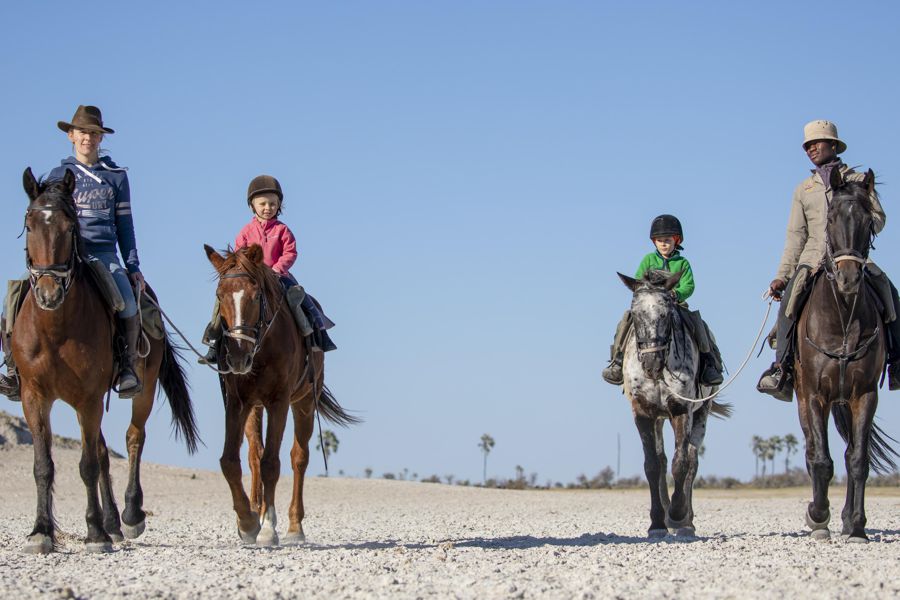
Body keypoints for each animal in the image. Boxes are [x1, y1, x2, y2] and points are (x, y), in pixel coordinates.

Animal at [15, 169, 200, 552]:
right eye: (29, 224)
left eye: (70, 226)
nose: (48, 293)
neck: (55, 329)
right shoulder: (34, 397)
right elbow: (45, 465)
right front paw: (41, 532)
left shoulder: (88, 399)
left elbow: (86, 464)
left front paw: (96, 534)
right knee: (102, 451)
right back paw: (113, 521)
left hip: (141, 389)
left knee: (133, 437)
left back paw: (129, 516)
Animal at [206, 245, 356, 548]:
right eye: (219, 295)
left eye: (255, 296)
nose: (238, 357)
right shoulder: (238, 402)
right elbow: (230, 461)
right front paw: (247, 522)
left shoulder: (279, 402)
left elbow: (272, 464)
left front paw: (266, 528)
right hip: (255, 407)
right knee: (254, 454)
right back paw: (257, 509)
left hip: (304, 403)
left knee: (298, 457)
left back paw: (294, 527)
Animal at [616, 270, 736, 536]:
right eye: (635, 314)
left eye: (666, 313)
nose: (651, 363)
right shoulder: (643, 414)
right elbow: (652, 465)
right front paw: (657, 522)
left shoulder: (681, 410)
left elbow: (681, 463)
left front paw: (677, 515)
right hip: (660, 419)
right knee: (662, 460)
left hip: (701, 412)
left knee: (692, 458)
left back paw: (686, 521)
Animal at [800, 166, 896, 540]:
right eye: (830, 219)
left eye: (869, 220)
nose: (848, 279)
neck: (841, 313)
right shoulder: (814, 395)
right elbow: (820, 459)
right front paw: (817, 516)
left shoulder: (864, 395)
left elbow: (858, 460)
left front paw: (855, 524)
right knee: (813, 450)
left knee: (850, 452)